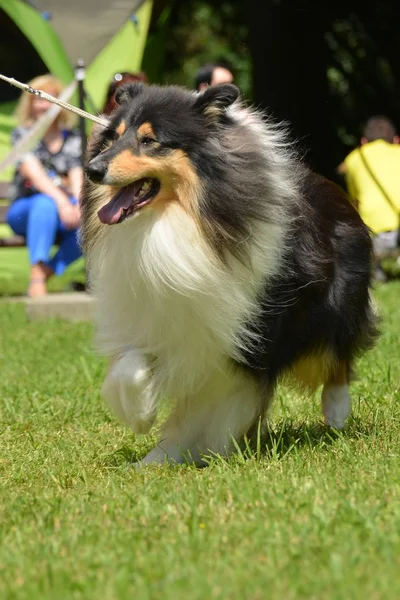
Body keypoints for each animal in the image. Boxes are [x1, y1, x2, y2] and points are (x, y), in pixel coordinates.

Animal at [81, 82, 378, 466]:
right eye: (113, 138)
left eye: (150, 140)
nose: (92, 169)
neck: (175, 222)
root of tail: (337, 190)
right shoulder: (159, 318)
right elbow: (129, 367)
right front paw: (145, 428)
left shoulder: (237, 343)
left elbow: (204, 410)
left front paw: (178, 451)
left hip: (333, 304)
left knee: (336, 354)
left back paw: (337, 412)